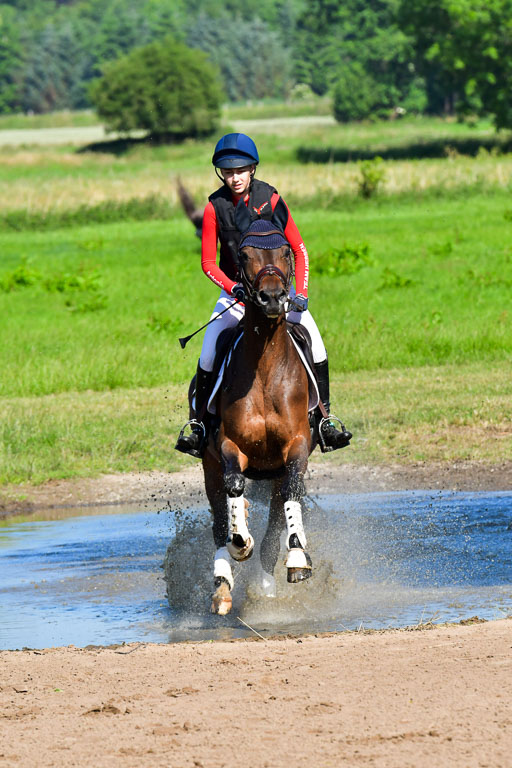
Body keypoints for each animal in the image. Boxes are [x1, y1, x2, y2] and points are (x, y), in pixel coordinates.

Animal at [198, 220, 317, 615]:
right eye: (245, 255)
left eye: (285, 252)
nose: (273, 299)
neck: (264, 366)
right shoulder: (229, 446)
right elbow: (235, 487)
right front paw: (240, 541)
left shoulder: (297, 445)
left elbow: (292, 495)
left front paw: (297, 558)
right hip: (209, 467)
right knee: (220, 520)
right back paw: (222, 583)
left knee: (277, 517)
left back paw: (266, 581)